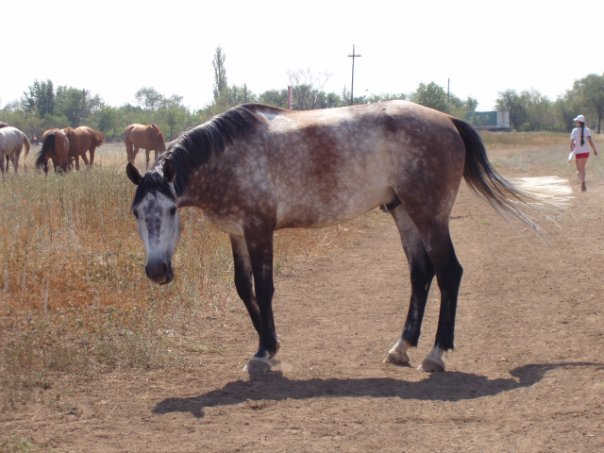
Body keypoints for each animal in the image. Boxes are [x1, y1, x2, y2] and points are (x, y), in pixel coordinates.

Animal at [125, 102, 568, 374]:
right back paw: (401, 347)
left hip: (430, 215)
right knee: (421, 274)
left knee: (449, 273)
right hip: (404, 213)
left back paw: (436, 354)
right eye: (137, 213)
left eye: (169, 210)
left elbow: (265, 289)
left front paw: (265, 353)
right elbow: (243, 288)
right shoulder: (237, 233)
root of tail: (447, 119)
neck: (230, 155)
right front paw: (269, 347)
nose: (157, 271)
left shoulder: (258, 229)